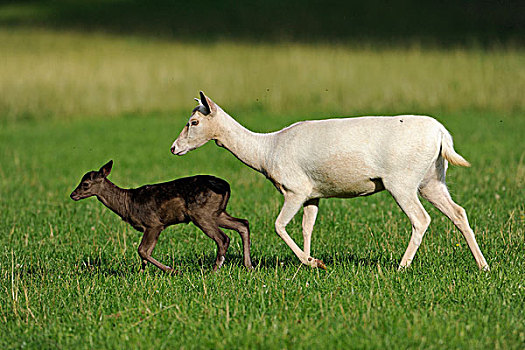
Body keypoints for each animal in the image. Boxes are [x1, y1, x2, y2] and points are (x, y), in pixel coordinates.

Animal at [170, 91, 490, 270]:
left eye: (193, 122)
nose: (174, 148)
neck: (267, 151)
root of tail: (442, 134)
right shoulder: (314, 195)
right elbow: (307, 227)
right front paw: (308, 263)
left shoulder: (295, 189)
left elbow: (279, 225)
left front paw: (313, 262)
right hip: (432, 179)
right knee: (459, 213)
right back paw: (483, 266)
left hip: (402, 182)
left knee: (421, 219)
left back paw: (401, 267)